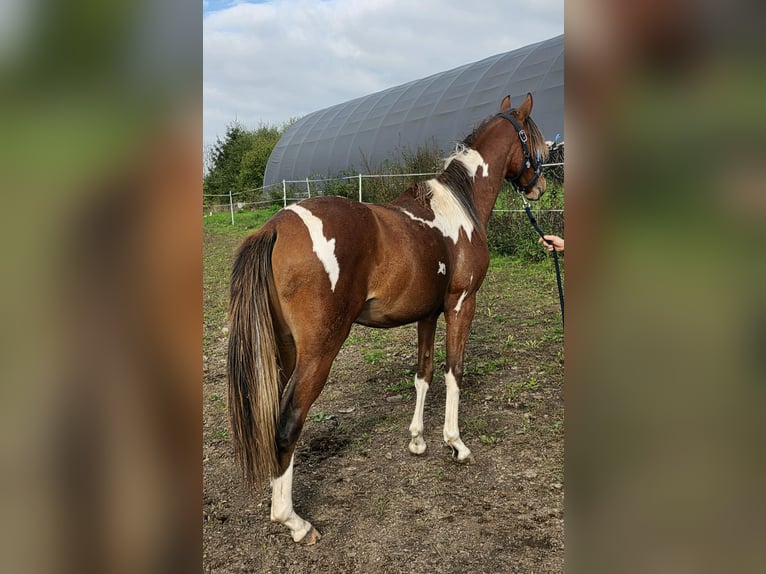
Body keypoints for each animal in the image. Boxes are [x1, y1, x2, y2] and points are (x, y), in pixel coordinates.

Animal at [227, 93, 548, 544]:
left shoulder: (427, 315)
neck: (458, 209)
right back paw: (294, 522)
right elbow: (454, 371)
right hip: (319, 352)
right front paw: (455, 444)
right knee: (288, 422)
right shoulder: (461, 305)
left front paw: (417, 440)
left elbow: (423, 373)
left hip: (284, 349)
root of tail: (273, 227)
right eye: (533, 138)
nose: (539, 187)